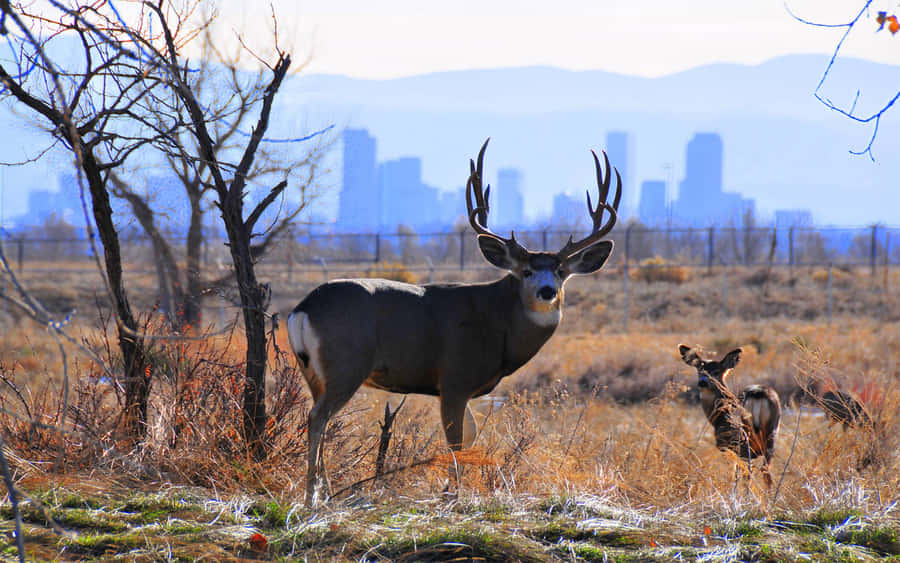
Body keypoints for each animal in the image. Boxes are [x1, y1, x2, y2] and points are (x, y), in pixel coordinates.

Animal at [287, 139, 622, 505]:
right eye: (526, 271)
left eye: (561, 272)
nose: (547, 291)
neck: (498, 324)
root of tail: (303, 308)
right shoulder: (454, 378)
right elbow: (456, 440)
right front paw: (454, 493)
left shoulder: (463, 387)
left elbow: (471, 435)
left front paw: (453, 488)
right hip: (347, 364)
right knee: (318, 417)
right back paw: (312, 495)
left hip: (312, 371)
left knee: (318, 416)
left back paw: (324, 490)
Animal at [679, 345, 781, 487]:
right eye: (700, 370)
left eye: (716, 372)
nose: (702, 382)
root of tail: (757, 393)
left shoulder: (725, 446)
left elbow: (732, 474)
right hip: (772, 433)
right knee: (766, 471)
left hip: (742, 439)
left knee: (748, 473)